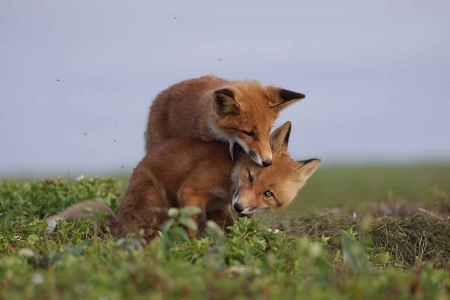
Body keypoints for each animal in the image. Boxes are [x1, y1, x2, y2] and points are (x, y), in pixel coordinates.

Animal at [46, 120, 320, 238]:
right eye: (250, 177)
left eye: (268, 194)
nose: (240, 207)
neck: (229, 173)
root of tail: (121, 223)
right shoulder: (190, 191)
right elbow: (195, 224)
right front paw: (194, 245)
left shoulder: (219, 206)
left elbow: (222, 226)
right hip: (155, 204)